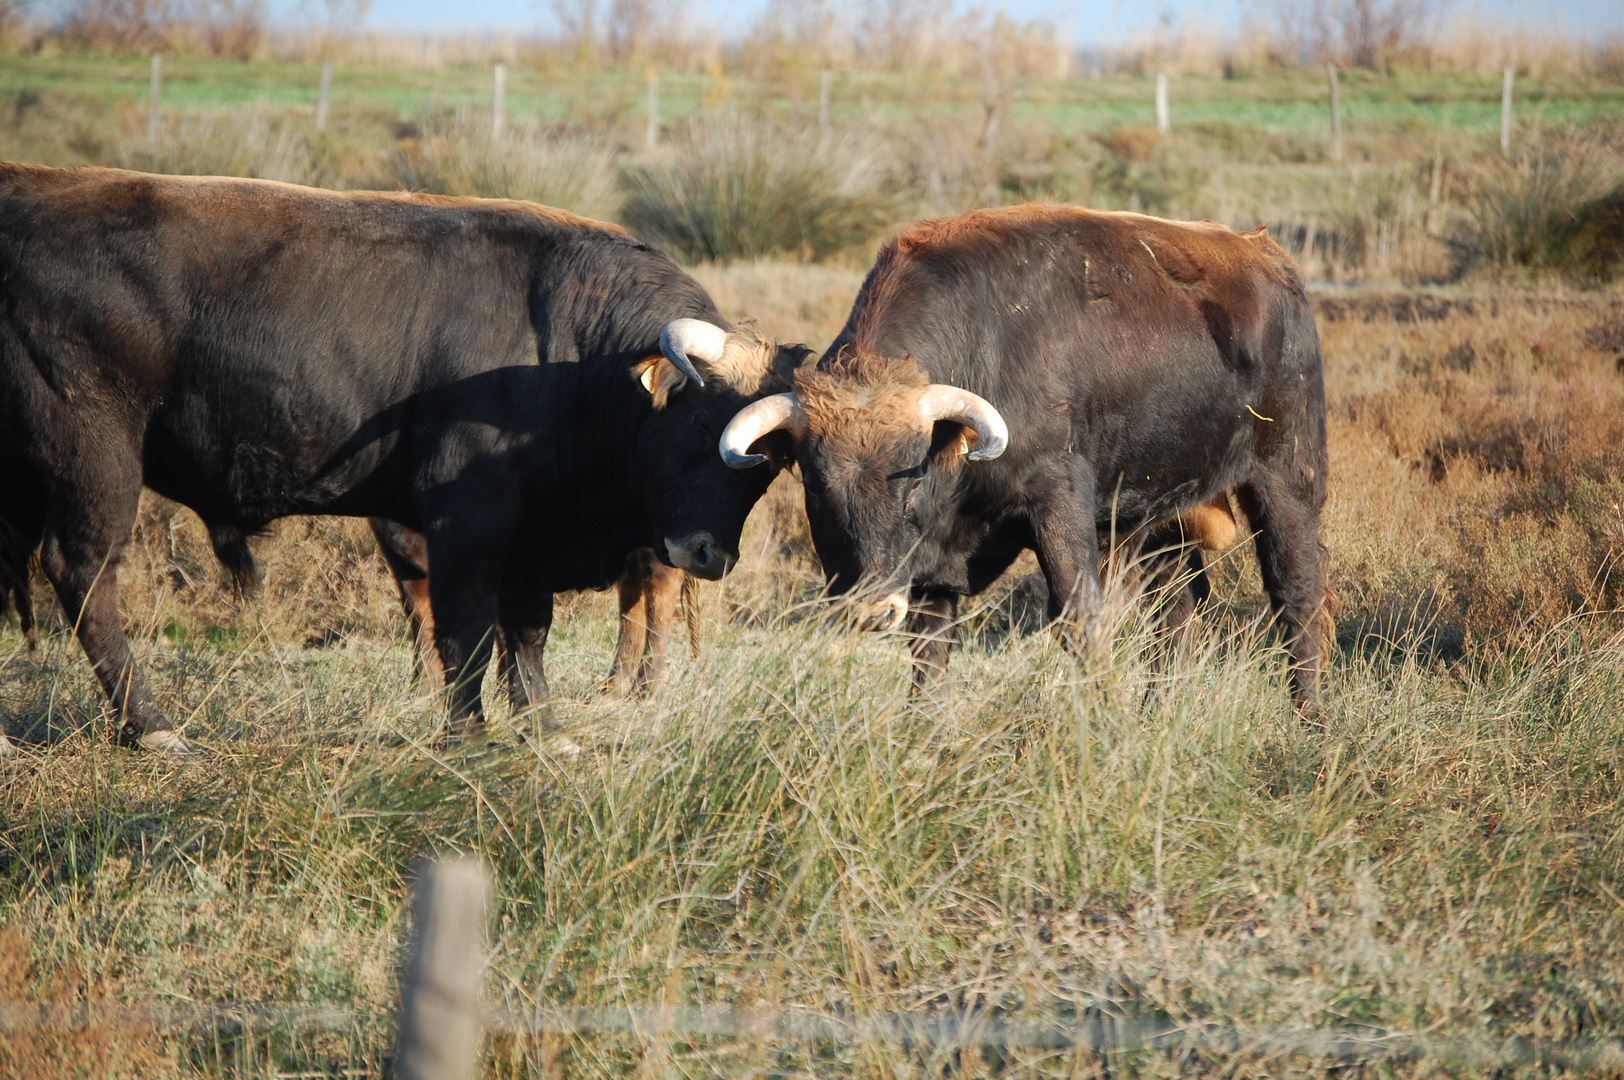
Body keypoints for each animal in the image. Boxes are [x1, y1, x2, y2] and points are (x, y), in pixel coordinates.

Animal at [0, 164, 802, 750]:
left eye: (767, 468)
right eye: (701, 424)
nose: (708, 554)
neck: (566, 350)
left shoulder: (527, 538)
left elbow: (526, 637)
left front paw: (542, 730)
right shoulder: (464, 527)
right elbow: (467, 635)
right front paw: (469, 733)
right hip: (95, 456)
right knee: (84, 572)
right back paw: (152, 726)